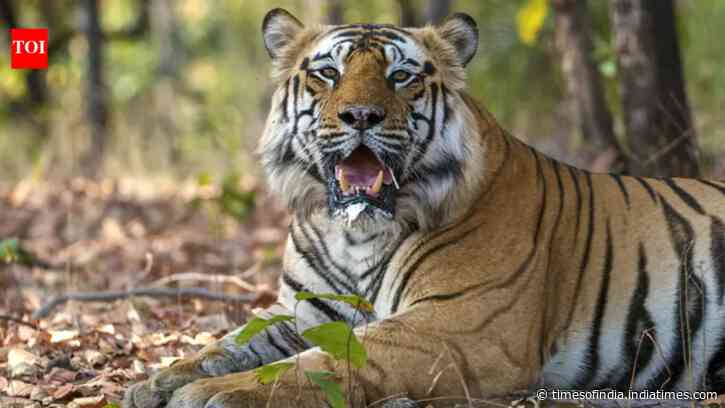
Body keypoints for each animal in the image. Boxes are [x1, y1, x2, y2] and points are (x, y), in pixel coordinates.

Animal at [124, 8, 725, 408]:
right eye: (328, 73)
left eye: (401, 76)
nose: (360, 116)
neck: (354, 234)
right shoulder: (306, 311)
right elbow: (234, 341)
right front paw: (156, 381)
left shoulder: (458, 325)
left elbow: (333, 359)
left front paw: (213, 393)